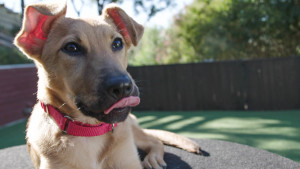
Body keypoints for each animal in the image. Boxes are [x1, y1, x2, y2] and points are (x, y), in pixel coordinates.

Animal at [14, 0, 202, 168]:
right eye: (71, 48)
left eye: (117, 43)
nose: (123, 87)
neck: (89, 133)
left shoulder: (128, 162)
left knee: (154, 140)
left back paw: (153, 157)